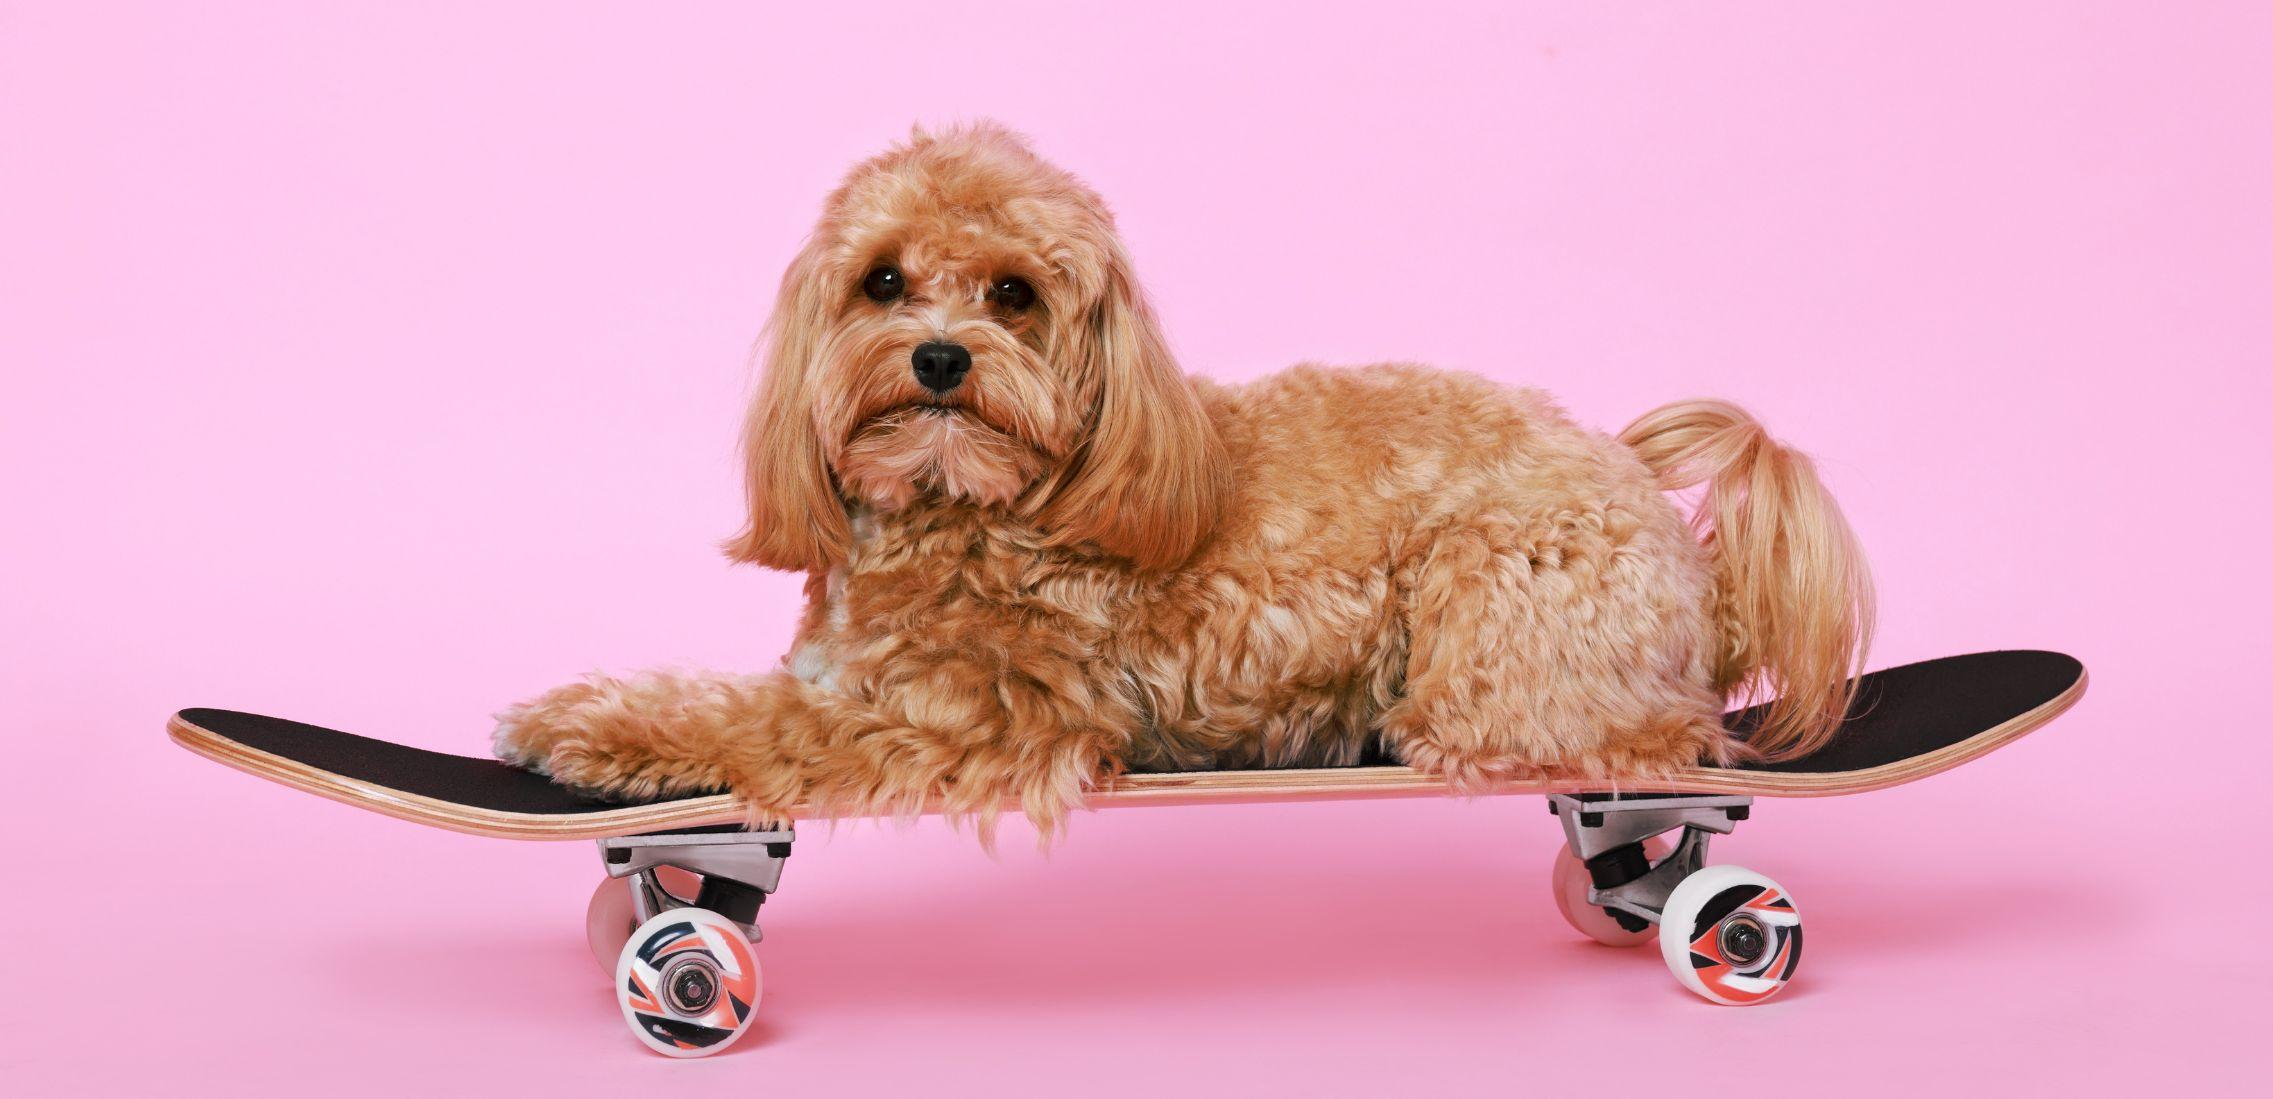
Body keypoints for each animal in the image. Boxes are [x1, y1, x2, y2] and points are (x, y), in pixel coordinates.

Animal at [488, 122, 1872, 840]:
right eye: (881, 280)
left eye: (1014, 294)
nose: (938, 357)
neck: (973, 512)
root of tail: (1685, 554)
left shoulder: (980, 720)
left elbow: (757, 723)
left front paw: (586, 727)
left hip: (1492, 618)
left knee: (1634, 738)